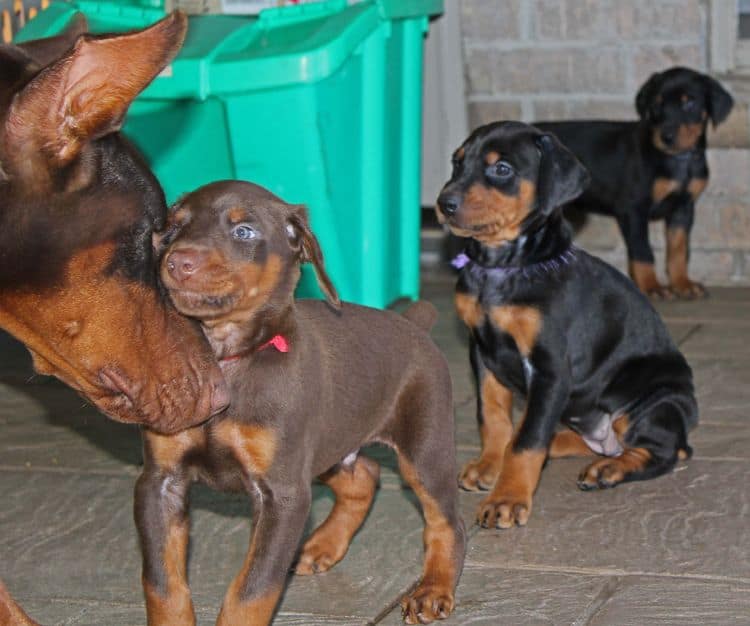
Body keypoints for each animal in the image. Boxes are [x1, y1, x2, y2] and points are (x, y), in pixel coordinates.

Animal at [141, 180, 468, 624]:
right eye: (173, 228)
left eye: (244, 231)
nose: (178, 262)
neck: (226, 356)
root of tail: (413, 324)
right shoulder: (160, 481)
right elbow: (163, 585)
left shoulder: (284, 493)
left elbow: (252, 590)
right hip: (328, 446)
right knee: (364, 476)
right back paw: (322, 546)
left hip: (423, 448)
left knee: (445, 521)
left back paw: (432, 589)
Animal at [438, 123, 704, 532]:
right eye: (457, 162)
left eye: (502, 169)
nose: (443, 203)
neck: (504, 268)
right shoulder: (482, 353)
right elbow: (495, 418)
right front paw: (489, 465)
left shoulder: (550, 368)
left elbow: (527, 440)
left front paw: (506, 499)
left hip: (654, 398)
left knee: (663, 451)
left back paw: (608, 468)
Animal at [536, 67, 736, 298]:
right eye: (657, 104)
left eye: (690, 103)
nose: (666, 137)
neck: (678, 160)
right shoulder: (633, 209)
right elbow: (642, 251)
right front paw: (651, 286)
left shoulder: (683, 208)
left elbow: (678, 249)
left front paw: (681, 283)